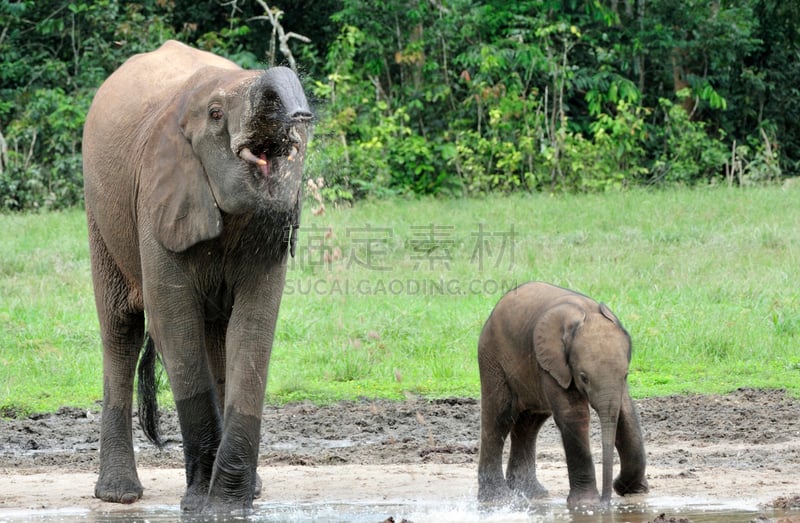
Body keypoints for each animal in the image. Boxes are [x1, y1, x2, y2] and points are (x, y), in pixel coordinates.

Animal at [83, 41, 312, 516]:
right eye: (216, 114)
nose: (300, 114)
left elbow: (253, 327)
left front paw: (227, 507)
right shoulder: (157, 198)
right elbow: (173, 322)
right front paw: (203, 504)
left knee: (218, 337)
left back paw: (252, 490)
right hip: (101, 213)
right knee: (121, 331)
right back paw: (118, 494)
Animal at [478, 280, 648, 510]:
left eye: (626, 375)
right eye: (584, 377)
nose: (606, 501)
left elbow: (626, 414)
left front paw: (632, 490)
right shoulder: (552, 362)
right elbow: (575, 415)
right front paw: (586, 504)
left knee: (530, 423)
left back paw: (531, 494)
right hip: (492, 358)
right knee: (499, 419)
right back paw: (497, 499)